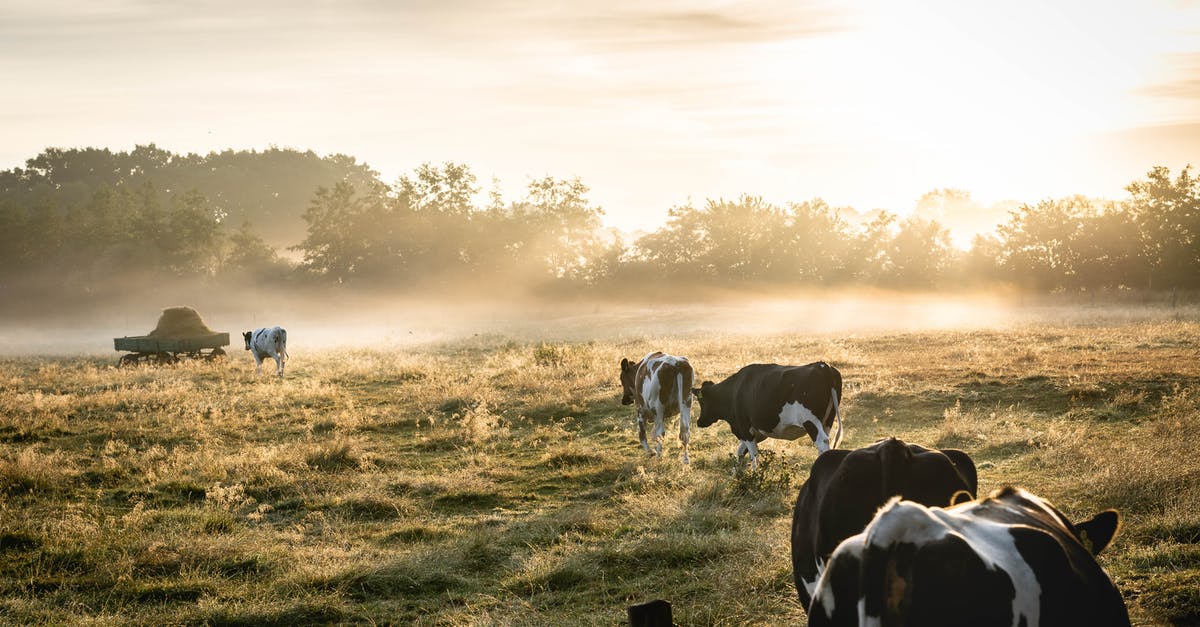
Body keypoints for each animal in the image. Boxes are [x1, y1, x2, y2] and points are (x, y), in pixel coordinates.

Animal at [691, 360, 849, 463]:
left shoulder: (744, 428)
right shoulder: (758, 432)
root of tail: (823, 365)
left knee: (822, 441)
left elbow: (753, 455)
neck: (735, 390)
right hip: (827, 420)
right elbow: (741, 451)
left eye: (701, 401)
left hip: (810, 421)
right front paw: (737, 476)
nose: (699, 422)